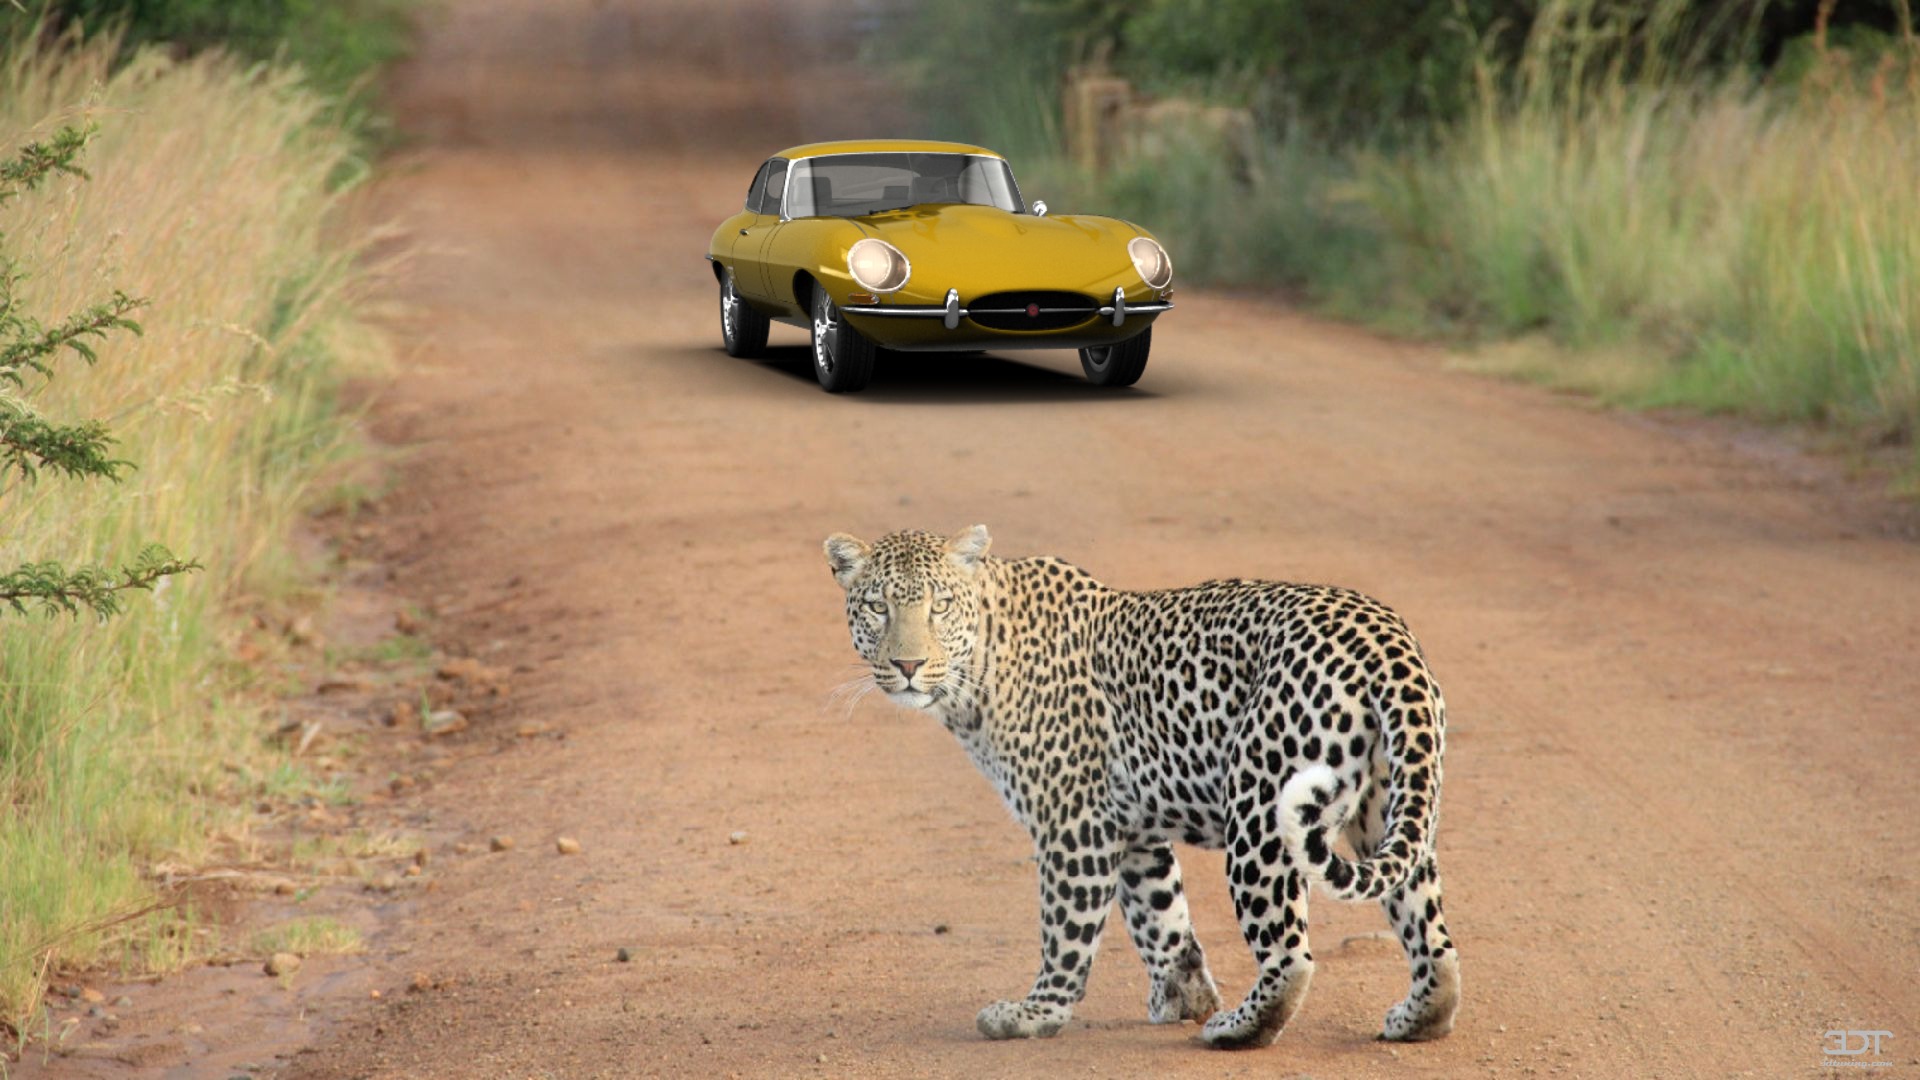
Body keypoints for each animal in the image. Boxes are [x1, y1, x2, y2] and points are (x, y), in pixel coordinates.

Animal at [822, 525, 1460, 1050]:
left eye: (940, 606)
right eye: (878, 607)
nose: (907, 666)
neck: (980, 666)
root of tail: (1385, 639)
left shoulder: (1074, 822)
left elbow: (1066, 929)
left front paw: (1035, 1014)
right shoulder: (1130, 827)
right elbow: (1162, 917)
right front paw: (1183, 995)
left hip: (1261, 810)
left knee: (1290, 954)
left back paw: (1236, 1029)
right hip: (1389, 806)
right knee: (1431, 933)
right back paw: (1417, 1018)